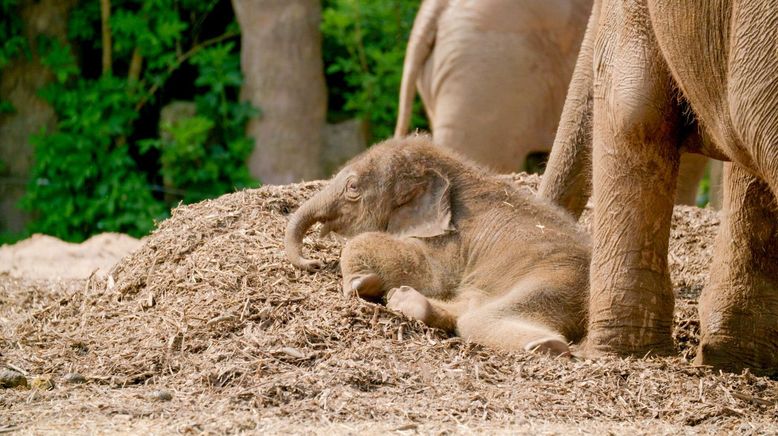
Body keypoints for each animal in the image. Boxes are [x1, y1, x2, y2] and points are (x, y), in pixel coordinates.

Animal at [286, 136, 588, 354]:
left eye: (352, 188)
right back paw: (403, 300)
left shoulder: (454, 241)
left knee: (477, 319)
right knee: (470, 305)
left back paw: (548, 347)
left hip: (560, 277)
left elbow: (430, 275)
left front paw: (361, 285)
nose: (314, 263)